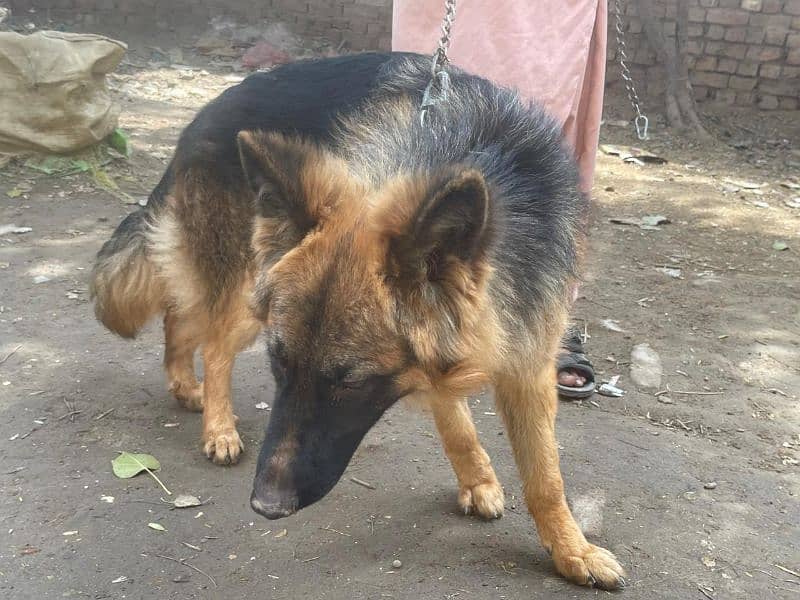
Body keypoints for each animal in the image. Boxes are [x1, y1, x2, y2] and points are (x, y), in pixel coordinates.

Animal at [89, 54, 624, 588]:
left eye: (350, 382)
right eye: (279, 363)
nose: (266, 506)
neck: (489, 161)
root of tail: (203, 115)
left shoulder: (519, 359)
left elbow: (542, 474)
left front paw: (567, 546)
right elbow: (464, 428)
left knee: (179, 317)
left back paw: (184, 386)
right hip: (246, 288)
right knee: (214, 344)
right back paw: (218, 428)